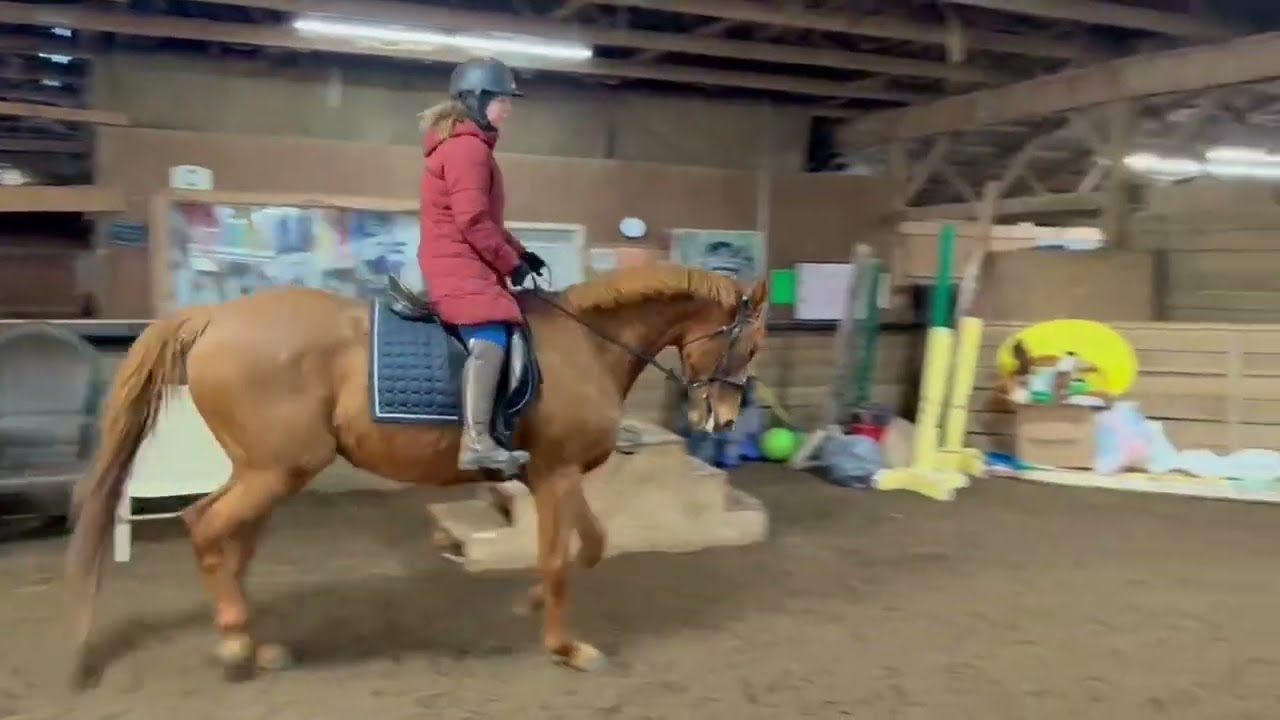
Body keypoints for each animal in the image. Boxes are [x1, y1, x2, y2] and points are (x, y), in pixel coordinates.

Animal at [65, 263, 768, 685]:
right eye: (749, 344)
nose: (724, 419)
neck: (589, 345)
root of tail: (214, 316)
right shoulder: (557, 474)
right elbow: (560, 560)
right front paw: (566, 647)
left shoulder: (555, 476)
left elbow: (590, 545)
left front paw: (530, 603)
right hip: (275, 469)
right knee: (207, 526)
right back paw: (237, 643)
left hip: (263, 471)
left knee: (226, 537)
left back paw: (255, 643)